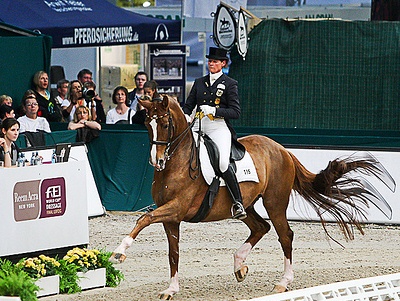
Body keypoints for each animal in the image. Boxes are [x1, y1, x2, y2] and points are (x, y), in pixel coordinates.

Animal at [111, 95, 396, 298]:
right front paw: (171, 289)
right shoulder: (172, 218)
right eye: (147, 124)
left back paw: (283, 282)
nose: (156, 161)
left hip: (274, 202)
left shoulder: (176, 208)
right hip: (245, 206)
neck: (178, 164)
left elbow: (143, 219)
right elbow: (173, 252)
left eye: (165, 124)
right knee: (261, 227)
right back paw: (239, 266)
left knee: (284, 235)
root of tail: (281, 149)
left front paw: (119, 253)